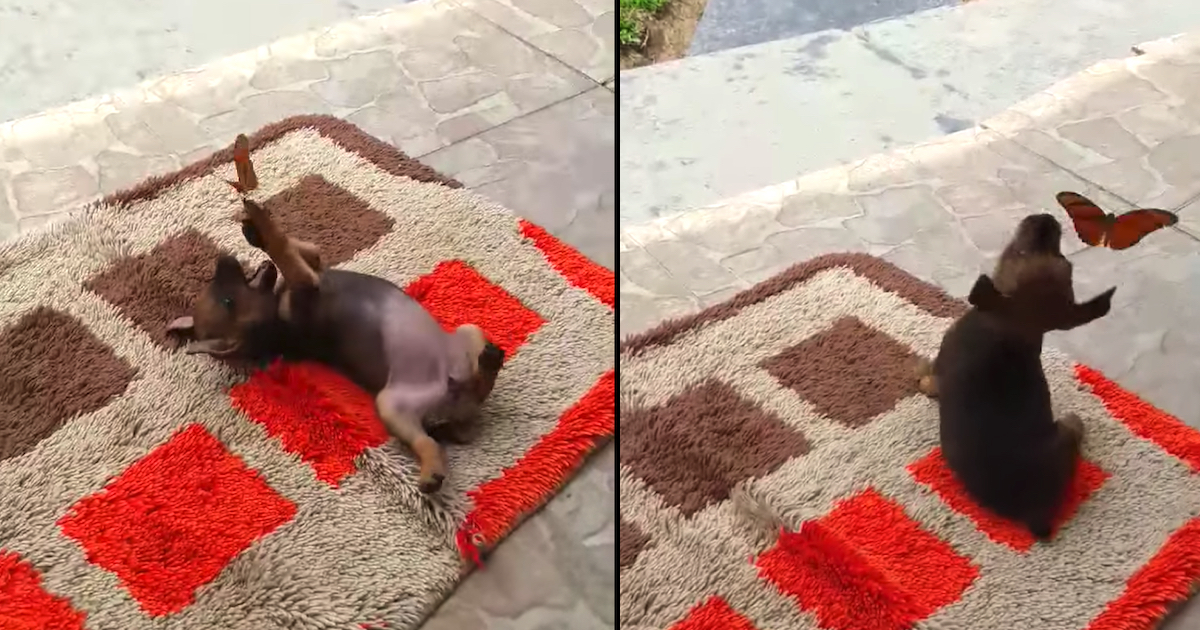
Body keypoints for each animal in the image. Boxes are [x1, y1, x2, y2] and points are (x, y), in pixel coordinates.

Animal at [164, 136, 501, 492]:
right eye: (228, 302)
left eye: (218, 287)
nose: (223, 259)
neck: (274, 317)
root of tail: (454, 403)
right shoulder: (305, 280)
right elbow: (283, 249)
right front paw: (261, 224)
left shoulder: (312, 264)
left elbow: (296, 246)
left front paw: (254, 229)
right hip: (392, 405)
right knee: (431, 440)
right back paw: (431, 472)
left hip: (467, 330)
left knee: (476, 382)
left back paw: (490, 359)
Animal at [916, 213, 1113, 537]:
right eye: (1065, 261)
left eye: (1016, 253)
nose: (1045, 219)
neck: (1011, 332)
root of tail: (1035, 514)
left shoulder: (943, 360)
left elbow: (930, 376)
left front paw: (920, 372)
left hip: (1062, 432)